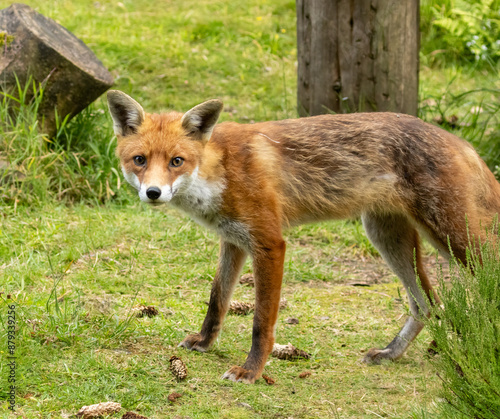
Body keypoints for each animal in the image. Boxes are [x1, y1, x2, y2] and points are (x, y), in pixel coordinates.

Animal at [106, 91, 500, 384]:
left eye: (176, 161)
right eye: (140, 159)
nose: (153, 193)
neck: (219, 170)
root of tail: (459, 140)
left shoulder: (269, 243)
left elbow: (261, 323)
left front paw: (251, 371)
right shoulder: (233, 239)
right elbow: (217, 300)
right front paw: (205, 343)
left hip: (453, 236)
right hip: (386, 235)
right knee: (427, 303)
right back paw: (391, 352)